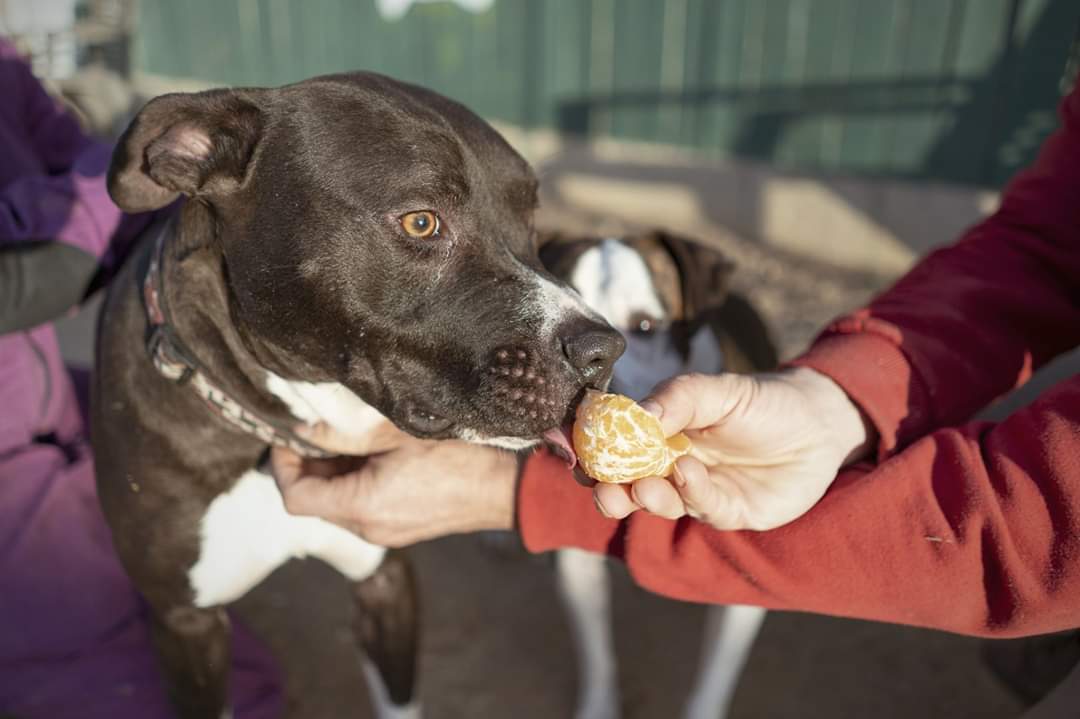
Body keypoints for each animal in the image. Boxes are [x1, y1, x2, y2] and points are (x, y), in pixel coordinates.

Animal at [91, 73, 626, 716]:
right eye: (421, 223)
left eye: (530, 220)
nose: (604, 352)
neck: (277, 423)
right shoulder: (184, 625)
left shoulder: (385, 577)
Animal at [537, 227, 777, 716]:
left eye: (646, 326)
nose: (593, 362)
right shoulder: (576, 564)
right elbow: (597, 658)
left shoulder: (742, 588)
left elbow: (712, 683)